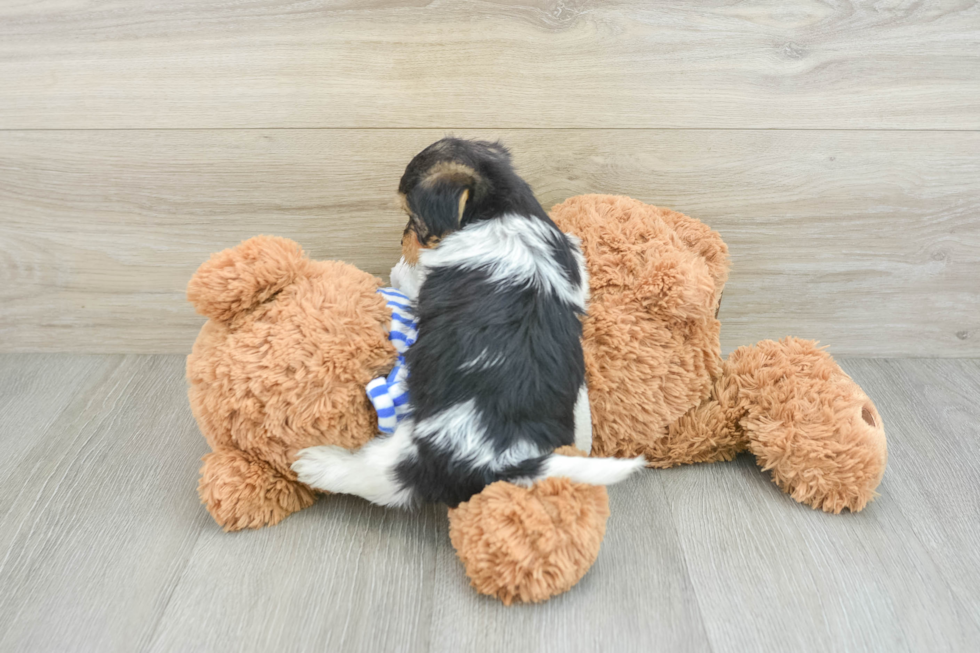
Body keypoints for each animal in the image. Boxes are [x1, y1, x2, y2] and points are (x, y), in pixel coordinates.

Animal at [290, 136, 644, 504]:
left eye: (414, 220)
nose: (400, 240)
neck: (505, 209)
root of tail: (504, 462)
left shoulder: (428, 280)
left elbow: (412, 281)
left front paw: (399, 269)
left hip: (418, 443)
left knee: (382, 477)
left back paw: (318, 464)